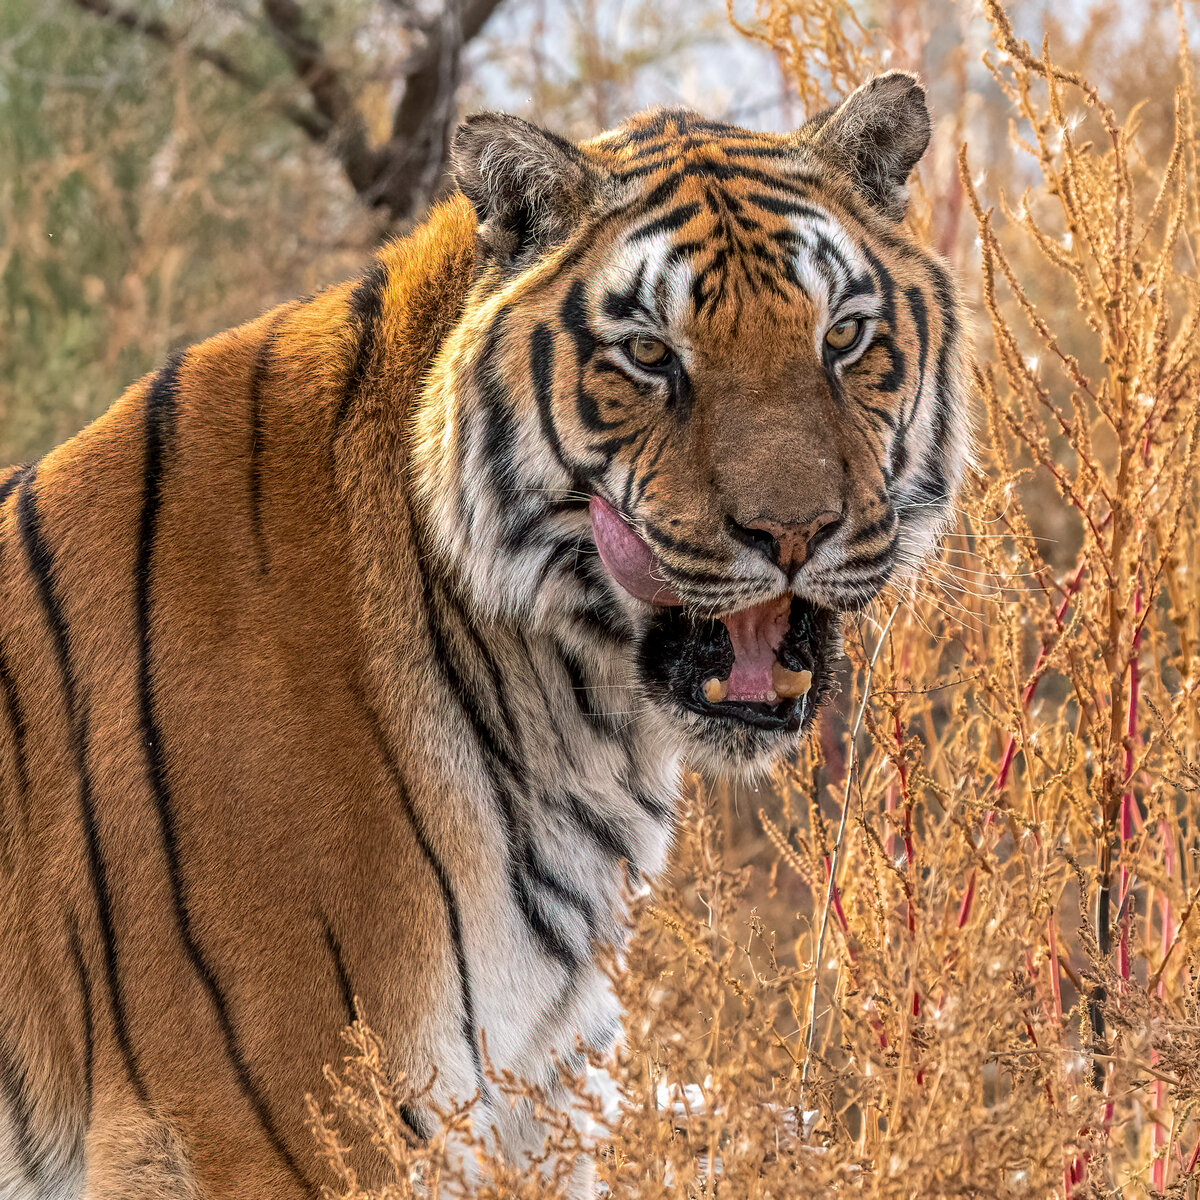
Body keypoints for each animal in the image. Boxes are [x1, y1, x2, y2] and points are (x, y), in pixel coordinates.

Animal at [0, 71, 969, 1199]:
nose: (795, 532)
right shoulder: (271, 1124)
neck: (574, 723)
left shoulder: (535, 1107)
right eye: (649, 354)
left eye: (843, 338)